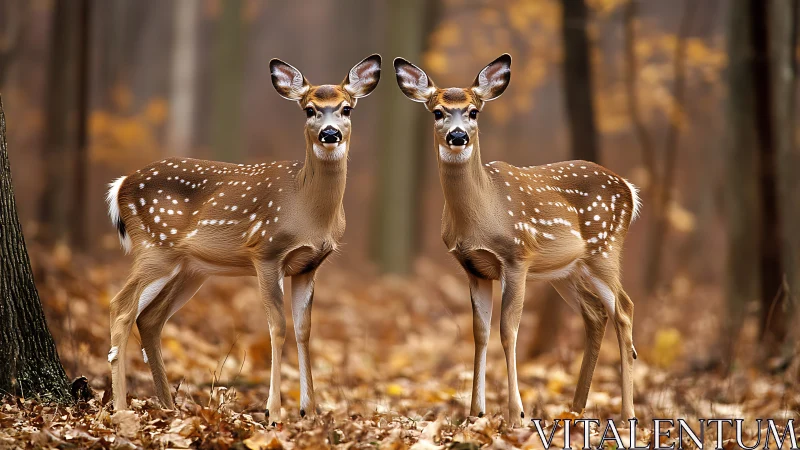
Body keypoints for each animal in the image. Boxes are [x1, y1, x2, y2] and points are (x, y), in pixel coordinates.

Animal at [105, 55, 381, 418]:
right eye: (309, 109)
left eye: (346, 108)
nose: (330, 133)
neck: (307, 208)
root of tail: (120, 185)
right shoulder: (266, 252)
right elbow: (277, 325)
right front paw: (274, 412)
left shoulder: (309, 265)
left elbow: (304, 329)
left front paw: (310, 412)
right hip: (155, 247)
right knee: (121, 308)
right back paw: (122, 409)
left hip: (190, 268)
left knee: (149, 319)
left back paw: (169, 408)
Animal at [393, 54, 640, 424]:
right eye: (437, 111)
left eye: (473, 111)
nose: (457, 136)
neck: (483, 211)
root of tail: (629, 189)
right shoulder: (473, 268)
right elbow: (479, 333)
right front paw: (475, 413)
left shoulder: (516, 258)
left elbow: (508, 332)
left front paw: (516, 414)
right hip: (565, 270)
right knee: (596, 313)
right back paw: (575, 409)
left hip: (604, 248)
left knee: (624, 309)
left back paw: (626, 414)